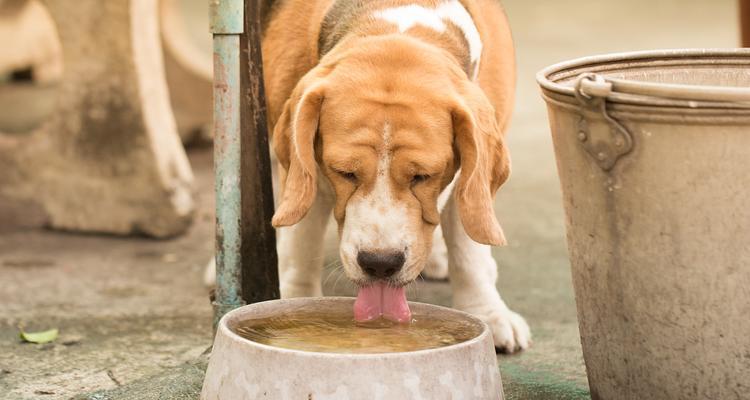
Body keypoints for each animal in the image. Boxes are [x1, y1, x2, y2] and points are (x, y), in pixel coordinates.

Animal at [209, 0, 532, 352]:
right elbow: (300, 243)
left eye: (423, 176)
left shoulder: (472, 173)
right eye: (345, 172)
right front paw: (294, 307)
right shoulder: (305, 170)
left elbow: (470, 251)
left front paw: (488, 313)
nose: (380, 263)